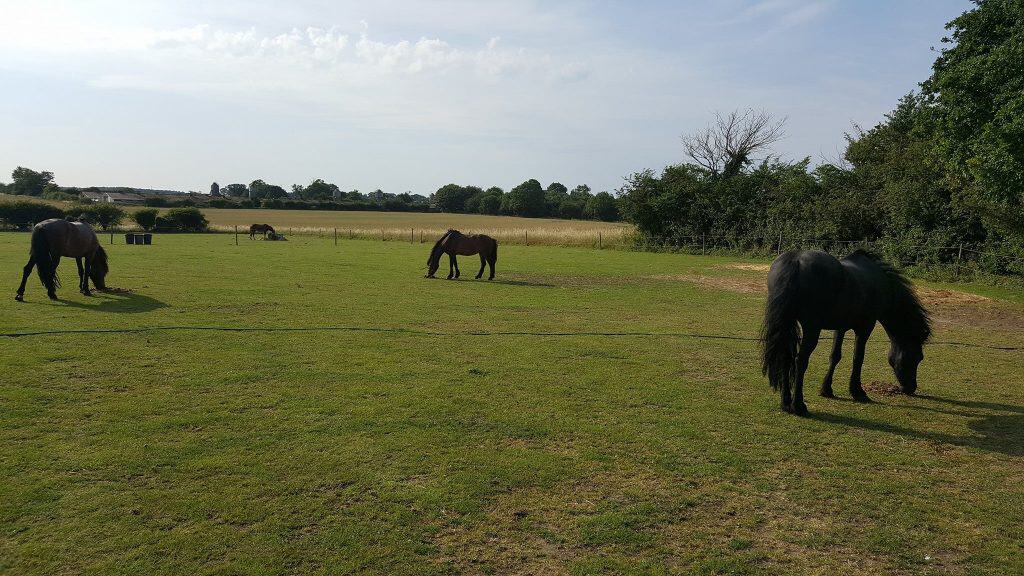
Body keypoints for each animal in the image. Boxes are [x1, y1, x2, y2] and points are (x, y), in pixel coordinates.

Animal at [760, 250, 931, 416]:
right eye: (917, 357)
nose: (911, 388)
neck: (881, 283)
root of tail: (795, 259)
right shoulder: (865, 327)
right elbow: (858, 358)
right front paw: (858, 392)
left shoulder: (841, 327)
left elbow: (835, 356)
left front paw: (827, 390)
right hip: (812, 328)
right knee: (800, 361)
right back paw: (798, 405)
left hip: (787, 325)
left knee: (785, 356)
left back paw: (785, 403)